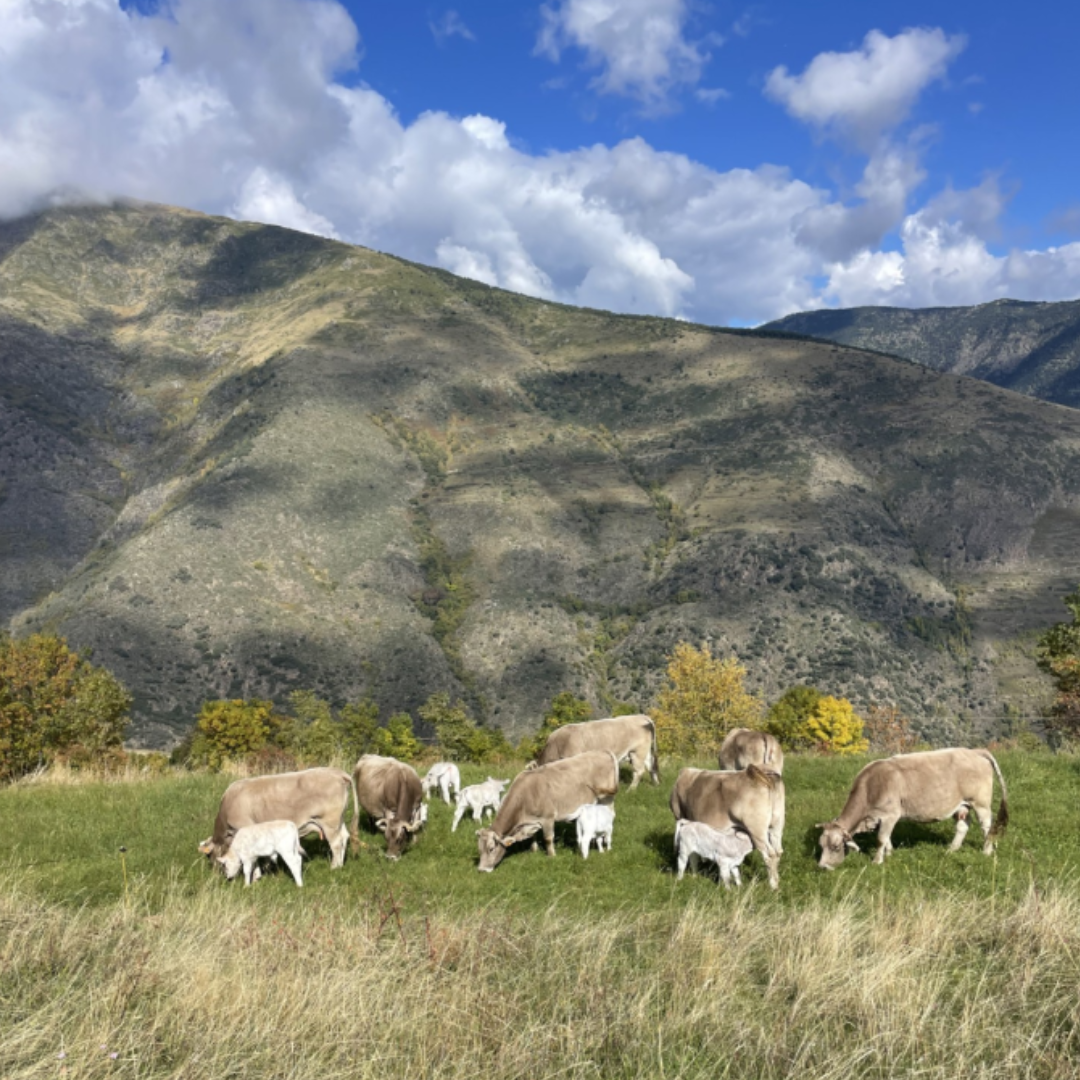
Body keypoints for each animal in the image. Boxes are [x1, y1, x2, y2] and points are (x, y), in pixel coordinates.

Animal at [198, 767, 357, 869]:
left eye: (209, 855)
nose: (215, 871)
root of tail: (337, 772)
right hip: (339, 820)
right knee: (344, 837)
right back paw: (341, 864)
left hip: (329, 822)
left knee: (336, 843)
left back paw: (334, 867)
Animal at [476, 750, 620, 872]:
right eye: (479, 849)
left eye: (491, 848)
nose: (482, 870)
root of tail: (602, 751)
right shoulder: (532, 821)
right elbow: (533, 836)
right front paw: (533, 849)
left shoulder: (548, 818)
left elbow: (548, 838)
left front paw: (552, 856)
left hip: (607, 798)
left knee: (611, 816)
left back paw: (606, 843)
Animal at [816, 747, 1009, 869]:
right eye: (821, 845)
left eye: (835, 847)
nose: (822, 867)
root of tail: (974, 751)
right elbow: (886, 838)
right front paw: (890, 854)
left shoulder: (890, 815)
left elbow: (881, 839)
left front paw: (877, 861)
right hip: (961, 804)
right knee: (963, 825)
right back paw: (951, 849)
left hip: (980, 802)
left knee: (986, 826)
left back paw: (986, 851)